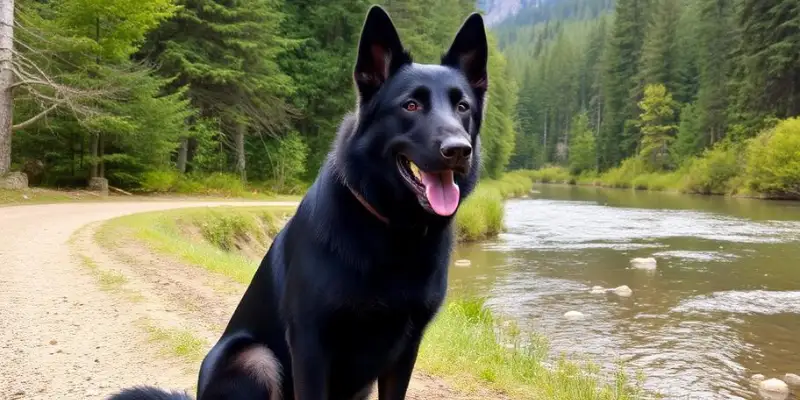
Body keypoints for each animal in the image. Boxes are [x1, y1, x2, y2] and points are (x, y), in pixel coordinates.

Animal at [108, 5, 488, 400]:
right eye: (411, 105)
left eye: (462, 107)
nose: (459, 150)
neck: (393, 230)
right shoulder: (310, 344)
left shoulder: (406, 350)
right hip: (254, 357)